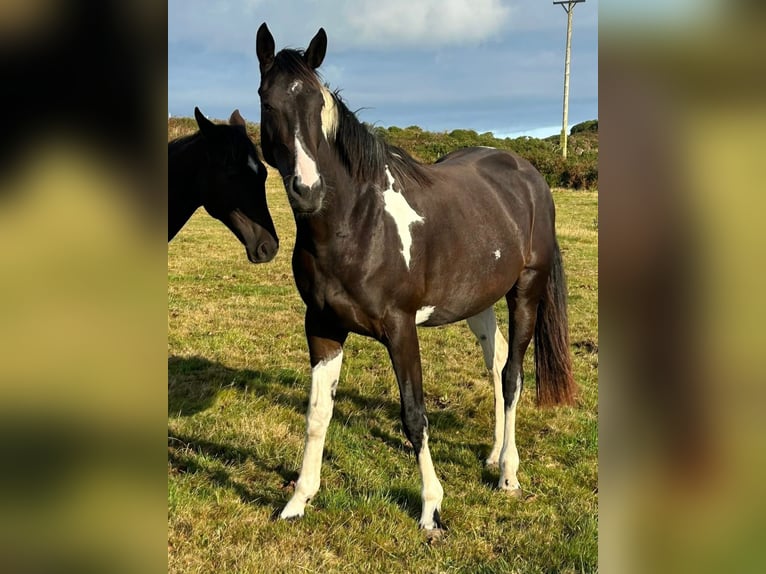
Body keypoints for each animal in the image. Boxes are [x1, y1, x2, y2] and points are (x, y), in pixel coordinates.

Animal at [255, 23, 577, 534]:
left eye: (317, 105)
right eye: (268, 103)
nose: (308, 191)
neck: (358, 224)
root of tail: (529, 174)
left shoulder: (400, 329)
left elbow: (414, 415)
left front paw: (431, 507)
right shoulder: (322, 327)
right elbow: (317, 414)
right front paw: (298, 500)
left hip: (525, 291)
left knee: (512, 375)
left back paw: (508, 473)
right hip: (478, 300)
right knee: (496, 362)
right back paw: (493, 455)